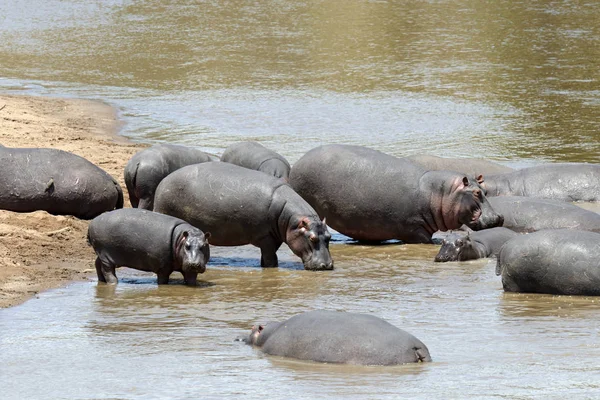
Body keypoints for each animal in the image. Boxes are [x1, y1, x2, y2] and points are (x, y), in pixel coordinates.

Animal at [152, 162, 332, 272]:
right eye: (312, 238)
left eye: (329, 237)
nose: (327, 265)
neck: (291, 220)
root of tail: (163, 181)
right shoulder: (265, 237)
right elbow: (271, 259)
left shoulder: (275, 237)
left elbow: (266, 257)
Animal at [288, 145, 504, 244]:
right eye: (477, 192)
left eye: (485, 190)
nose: (498, 217)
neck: (441, 193)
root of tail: (296, 164)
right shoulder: (415, 229)